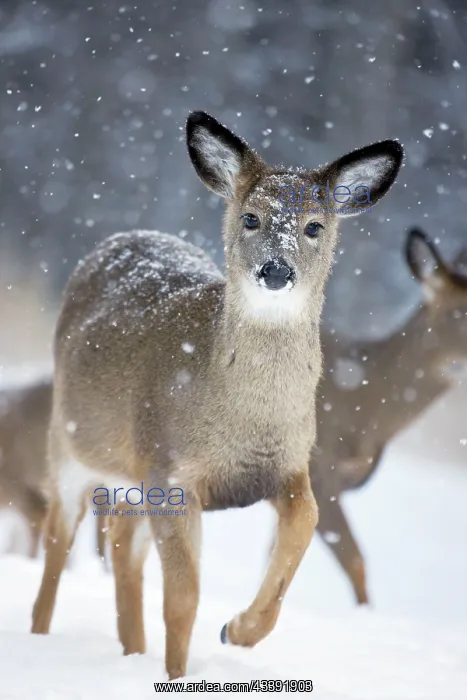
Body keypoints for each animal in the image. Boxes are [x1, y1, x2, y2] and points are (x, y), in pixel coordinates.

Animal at [30, 110, 403, 679]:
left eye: (314, 226)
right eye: (250, 218)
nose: (277, 269)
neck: (243, 424)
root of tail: (123, 237)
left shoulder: (290, 465)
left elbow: (306, 523)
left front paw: (240, 630)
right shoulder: (172, 472)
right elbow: (183, 598)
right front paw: (179, 675)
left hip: (130, 476)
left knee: (119, 544)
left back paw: (132, 651)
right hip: (69, 445)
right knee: (57, 545)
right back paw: (41, 638)